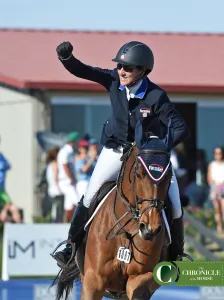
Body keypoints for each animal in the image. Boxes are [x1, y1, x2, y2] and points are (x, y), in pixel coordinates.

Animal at [52, 122, 173, 300]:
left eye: (169, 176)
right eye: (139, 174)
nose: (150, 228)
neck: (127, 229)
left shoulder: (144, 278)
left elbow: (135, 286)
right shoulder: (93, 281)